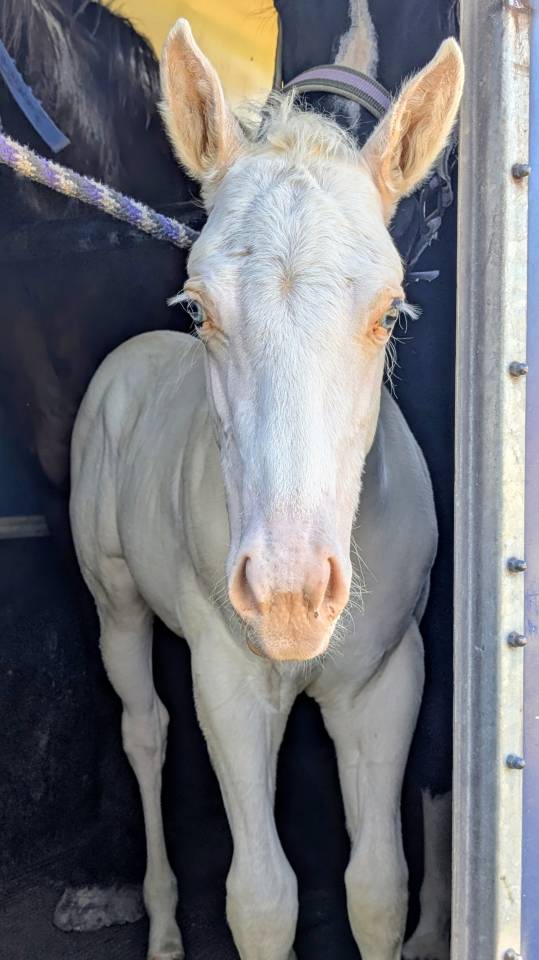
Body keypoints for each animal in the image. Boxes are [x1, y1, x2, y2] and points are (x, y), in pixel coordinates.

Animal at [70, 19, 464, 960]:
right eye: (199, 308)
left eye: (389, 312)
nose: (289, 596)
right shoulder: (230, 682)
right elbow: (260, 900)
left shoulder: (386, 680)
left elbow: (377, 889)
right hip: (115, 599)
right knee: (145, 732)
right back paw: (162, 927)